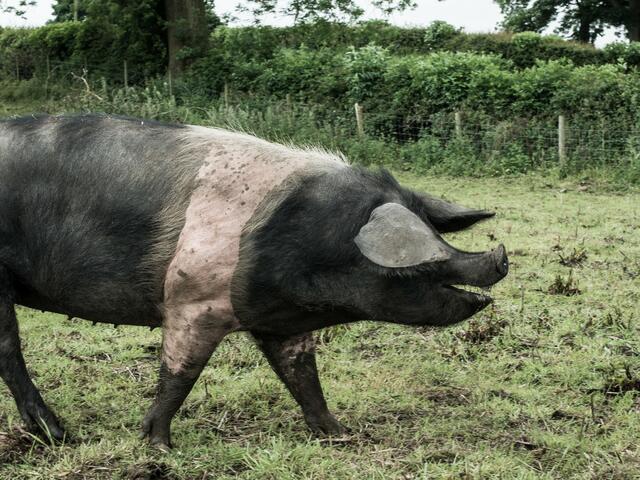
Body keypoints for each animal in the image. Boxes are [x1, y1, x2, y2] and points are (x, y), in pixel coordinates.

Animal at [0, 114, 508, 449]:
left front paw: (340, 435)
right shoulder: (192, 301)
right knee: (9, 350)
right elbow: (179, 374)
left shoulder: (281, 323)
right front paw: (159, 445)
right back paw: (59, 436)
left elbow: (303, 376)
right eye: (420, 265)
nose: (500, 258)